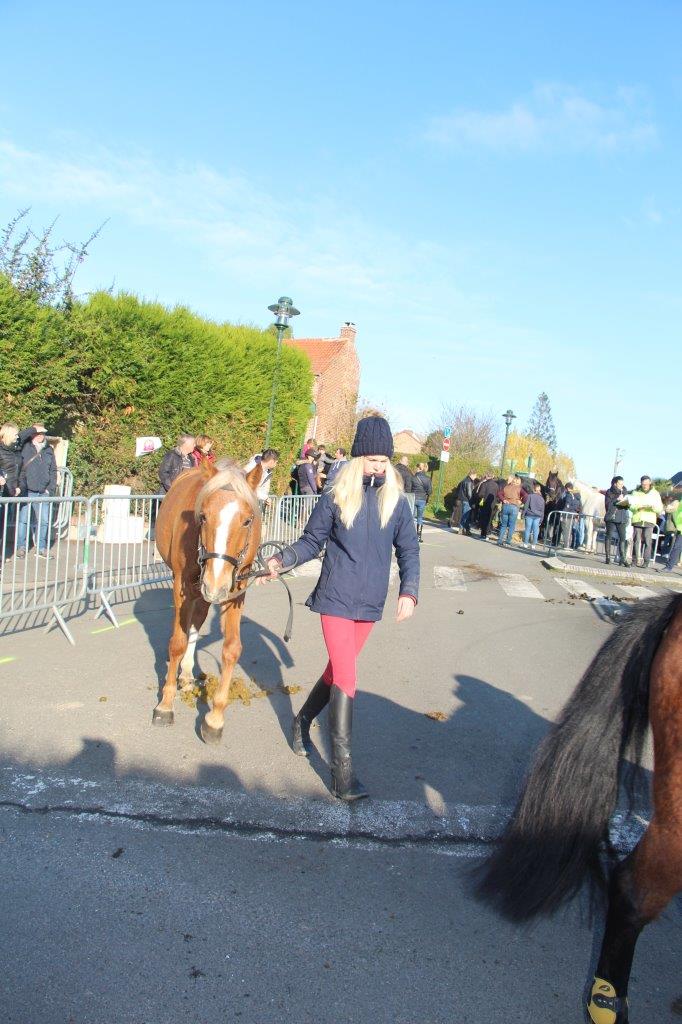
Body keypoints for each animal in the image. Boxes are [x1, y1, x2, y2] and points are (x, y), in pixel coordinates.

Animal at [151, 460, 260, 741]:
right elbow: (177, 643)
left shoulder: (236, 592)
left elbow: (231, 649)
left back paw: (188, 673)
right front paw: (165, 704)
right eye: (203, 517)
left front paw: (215, 718)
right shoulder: (183, 587)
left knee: (196, 623)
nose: (215, 583)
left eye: (247, 520)